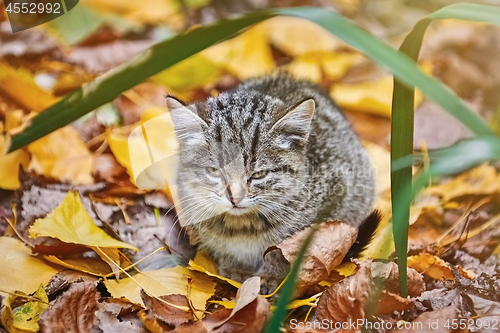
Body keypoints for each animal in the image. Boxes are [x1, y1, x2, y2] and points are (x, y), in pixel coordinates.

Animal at [166, 72, 374, 286]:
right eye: (215, 171)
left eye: (258, 174)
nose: (235, 198)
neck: (242, 227)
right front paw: (235, 268)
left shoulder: (337, 198)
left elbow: (282, 251)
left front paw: (270, 275)